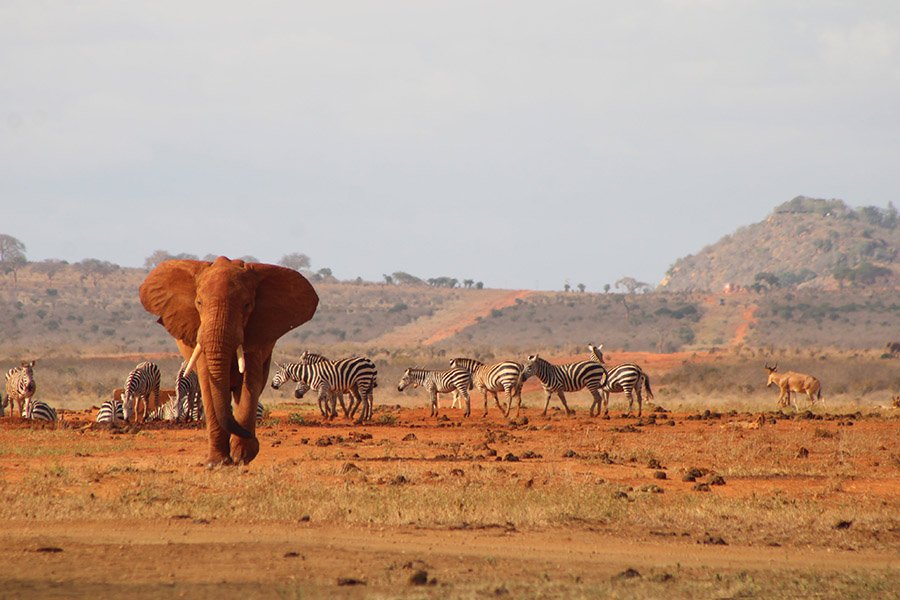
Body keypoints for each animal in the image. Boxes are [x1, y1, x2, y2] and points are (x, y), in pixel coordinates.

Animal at [141, 255, 320, 466]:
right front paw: (217, 462)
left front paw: (242, 456)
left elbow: (250, 383)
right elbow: (208, 385)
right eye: (199, 303)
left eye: (247, 305)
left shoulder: (256, 333)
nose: (253, 438)